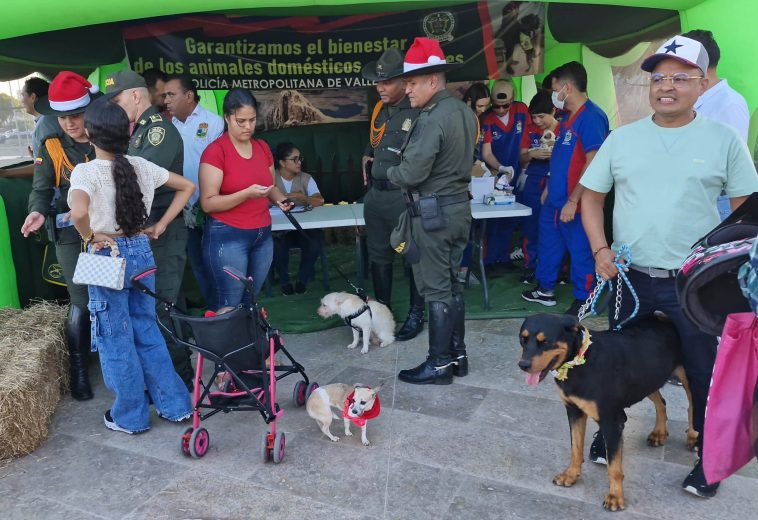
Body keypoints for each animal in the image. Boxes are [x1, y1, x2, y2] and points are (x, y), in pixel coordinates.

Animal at [520, 312, 696, 512]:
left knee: (693, 406)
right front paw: (571, 475)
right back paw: (659, 433)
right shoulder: (574, 411)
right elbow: (575, 448)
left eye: (545, 342)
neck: (580, 363)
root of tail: (664, 318)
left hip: (689, 378)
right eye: (523, 339)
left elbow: (614, 467)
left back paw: (693, 436)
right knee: (662, 403)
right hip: (648, 378)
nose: (522, 365)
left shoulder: (611, 421)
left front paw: (615, 497)